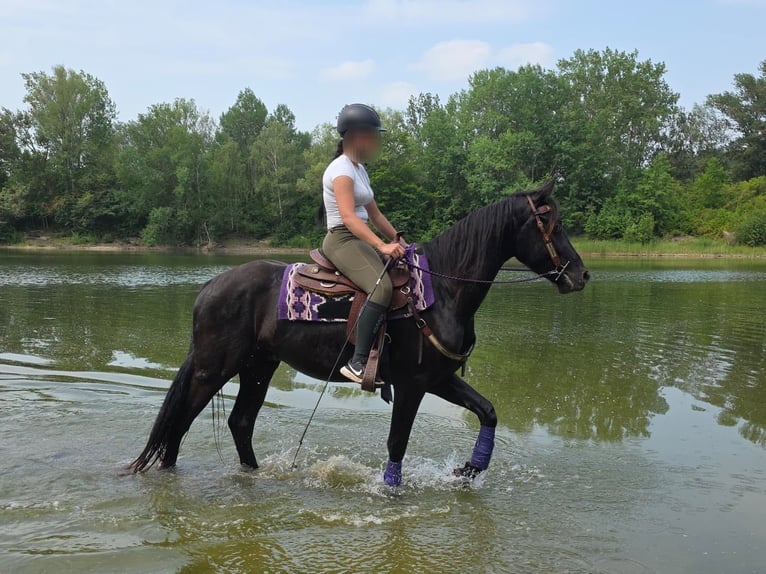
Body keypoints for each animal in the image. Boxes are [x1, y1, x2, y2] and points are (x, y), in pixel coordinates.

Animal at [129, 180, 589, 485]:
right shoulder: (412, 385)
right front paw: (392, 491)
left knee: (240, 423)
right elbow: (397, 444)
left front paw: (469, 469)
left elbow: (488, 411)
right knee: (181, 422)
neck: (441, 290)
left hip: (258, 367)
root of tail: (209, 286)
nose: (581, 276)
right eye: (553, 225)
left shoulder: (438, 378)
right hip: (214, 369)